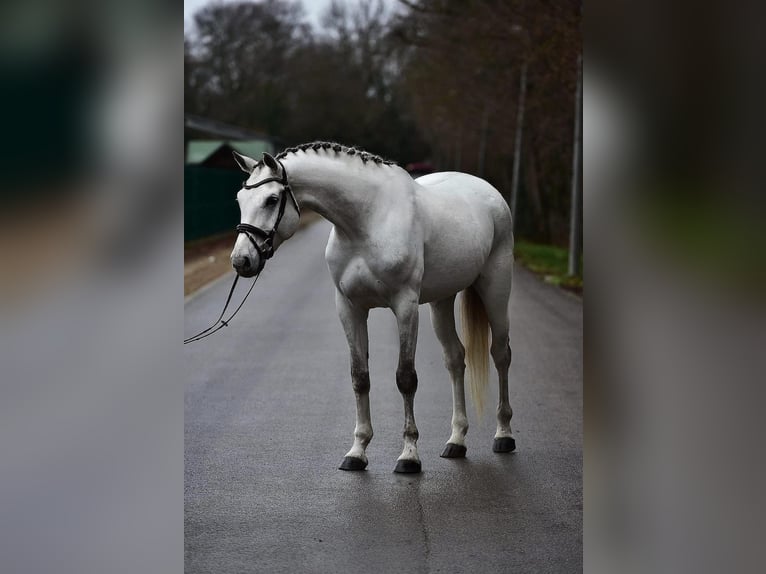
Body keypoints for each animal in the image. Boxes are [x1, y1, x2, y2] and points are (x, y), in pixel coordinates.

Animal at [230, 142, 514, 474]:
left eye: (272, 199)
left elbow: (405, 378)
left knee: (501, 354)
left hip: (495, 288)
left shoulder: (405, 306)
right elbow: (360, 377)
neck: (366, 220)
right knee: (455, 358)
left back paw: (504, 435)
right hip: (441, 301)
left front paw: (409, 455)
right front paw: (357, 452)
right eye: (240, 199)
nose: (241, 261)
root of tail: (489, 192)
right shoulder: (349, 308)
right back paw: (456, 441)